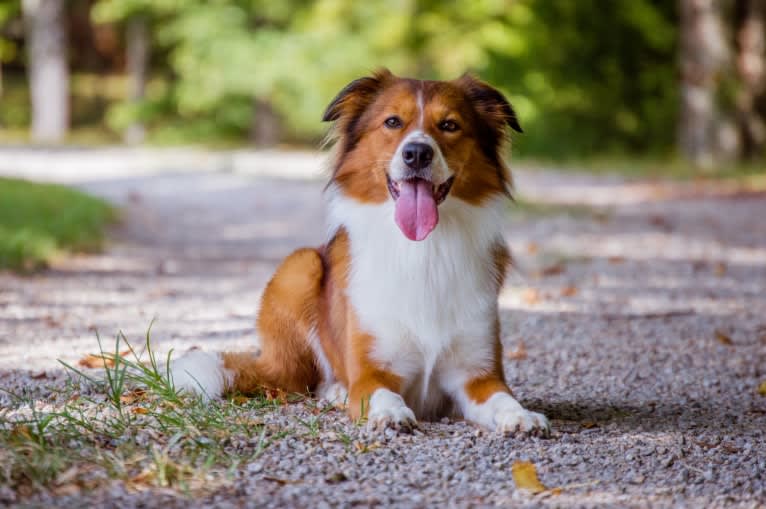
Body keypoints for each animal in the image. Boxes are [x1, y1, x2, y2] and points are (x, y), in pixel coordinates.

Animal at [170, 66, 552, 432]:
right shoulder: (372, 372)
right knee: (306, 381)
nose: (417, 153)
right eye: (393, 122)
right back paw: (337, 391)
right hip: (299, 265)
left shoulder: (478, 375)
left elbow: (503, 399)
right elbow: (381, 394)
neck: (424, 250)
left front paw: (522, 416)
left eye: (449, 125)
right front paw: (390, 413)